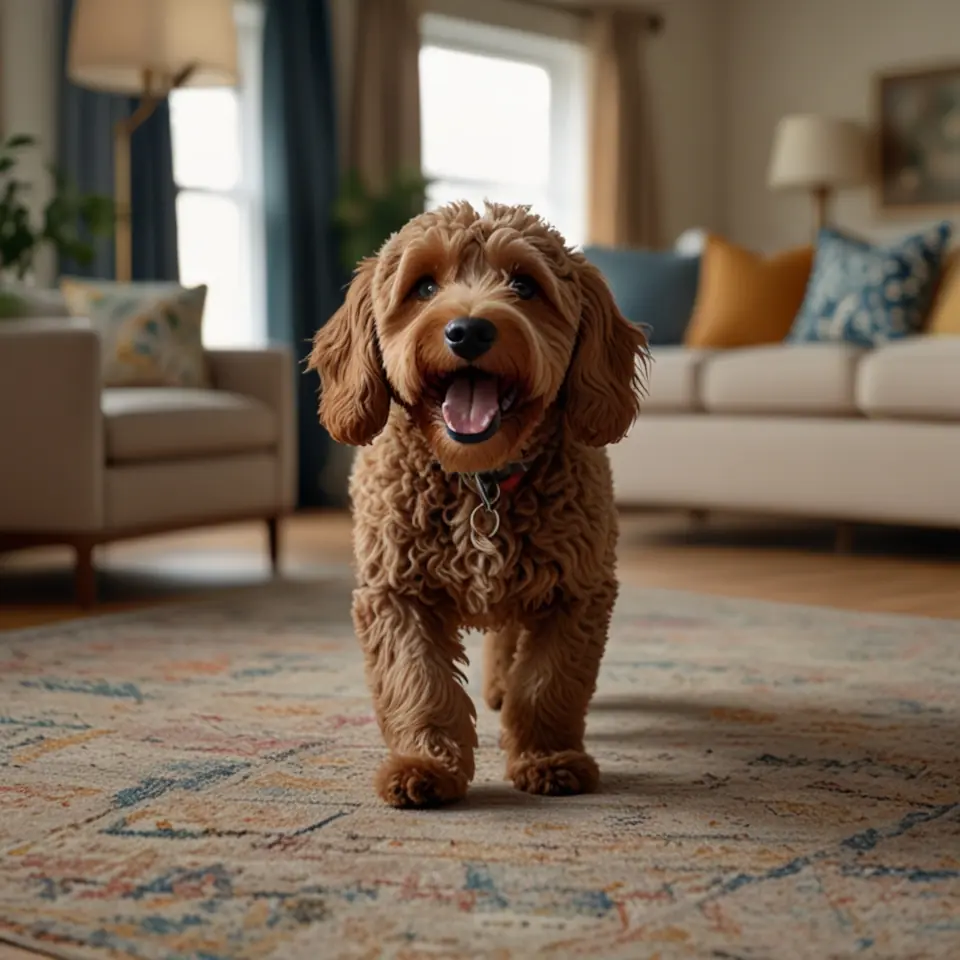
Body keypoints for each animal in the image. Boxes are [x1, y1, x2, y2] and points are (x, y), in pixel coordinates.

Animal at [312, 202, 648, 808]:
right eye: (424, 286)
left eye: (524, 284)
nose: (468, 329)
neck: (479, 482)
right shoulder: (395, 594)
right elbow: (418, 683)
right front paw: (425, 764)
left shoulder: (576, 593)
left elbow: (548, 685)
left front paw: (548, 758)